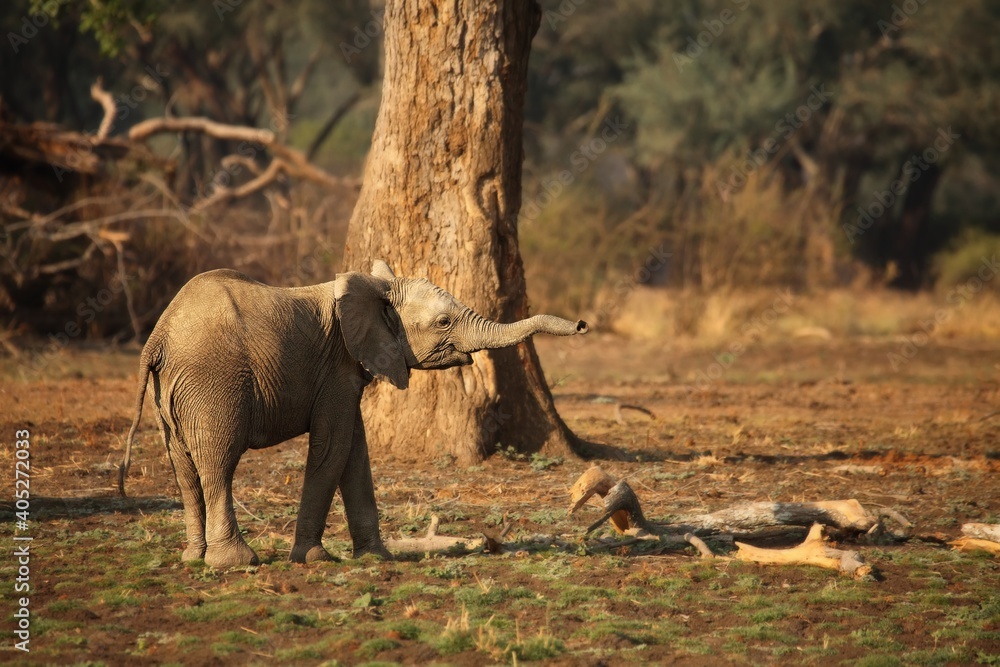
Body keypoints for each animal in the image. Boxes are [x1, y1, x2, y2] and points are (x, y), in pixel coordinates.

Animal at [118, 260, 588, 568]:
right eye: (442, 322)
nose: (583, 325)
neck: (376, 287)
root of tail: (157, 337)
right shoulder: (336, 367)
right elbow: (334, 447)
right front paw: (314, 559)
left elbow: (356, 453)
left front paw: (377, 558)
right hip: (212, 382)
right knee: (218, 461)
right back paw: (235, 561)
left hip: (172, 392)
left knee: (183, 467)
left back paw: (193, 558)